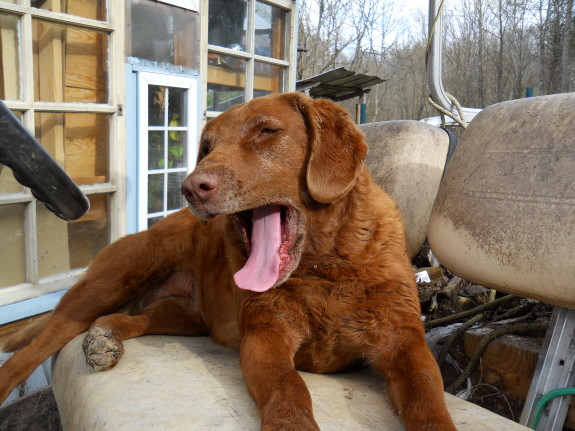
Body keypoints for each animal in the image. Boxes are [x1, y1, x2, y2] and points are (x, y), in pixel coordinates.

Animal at [1, 93, 460, 430]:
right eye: (207, 147)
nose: (191, 187)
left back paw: (105, 336)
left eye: (267, 132)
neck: (322, 266)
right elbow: (289, 388)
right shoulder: (265, 334)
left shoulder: (404, 342)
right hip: (110, 282)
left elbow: (428, 398)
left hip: (187, 316)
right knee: (31, 352)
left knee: (139, 317)